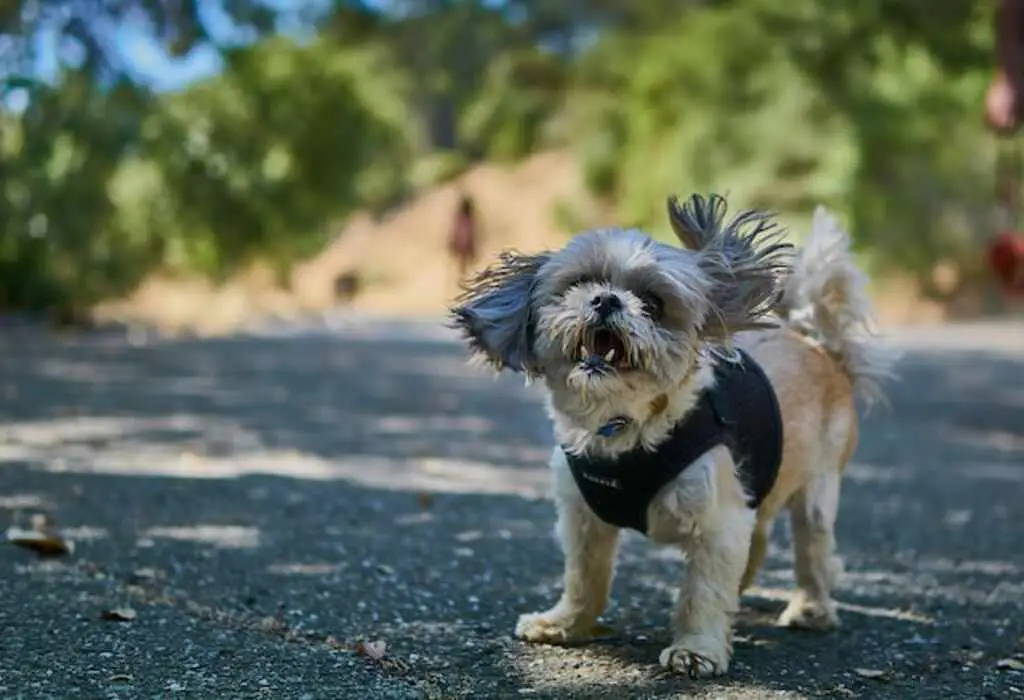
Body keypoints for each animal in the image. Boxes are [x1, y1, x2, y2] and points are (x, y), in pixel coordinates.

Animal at [448, 192, 897, 679]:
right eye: (581, 283)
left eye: (653, 303)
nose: (605, 300)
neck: (626, 428)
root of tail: (818, 345)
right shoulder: (584, 518)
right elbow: (585, 578)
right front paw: (565, 624)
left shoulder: (718, 522)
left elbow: (703, 592)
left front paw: (696, 650)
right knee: (759, 542)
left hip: (817, 491)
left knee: (813, 551)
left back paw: (812, 610)